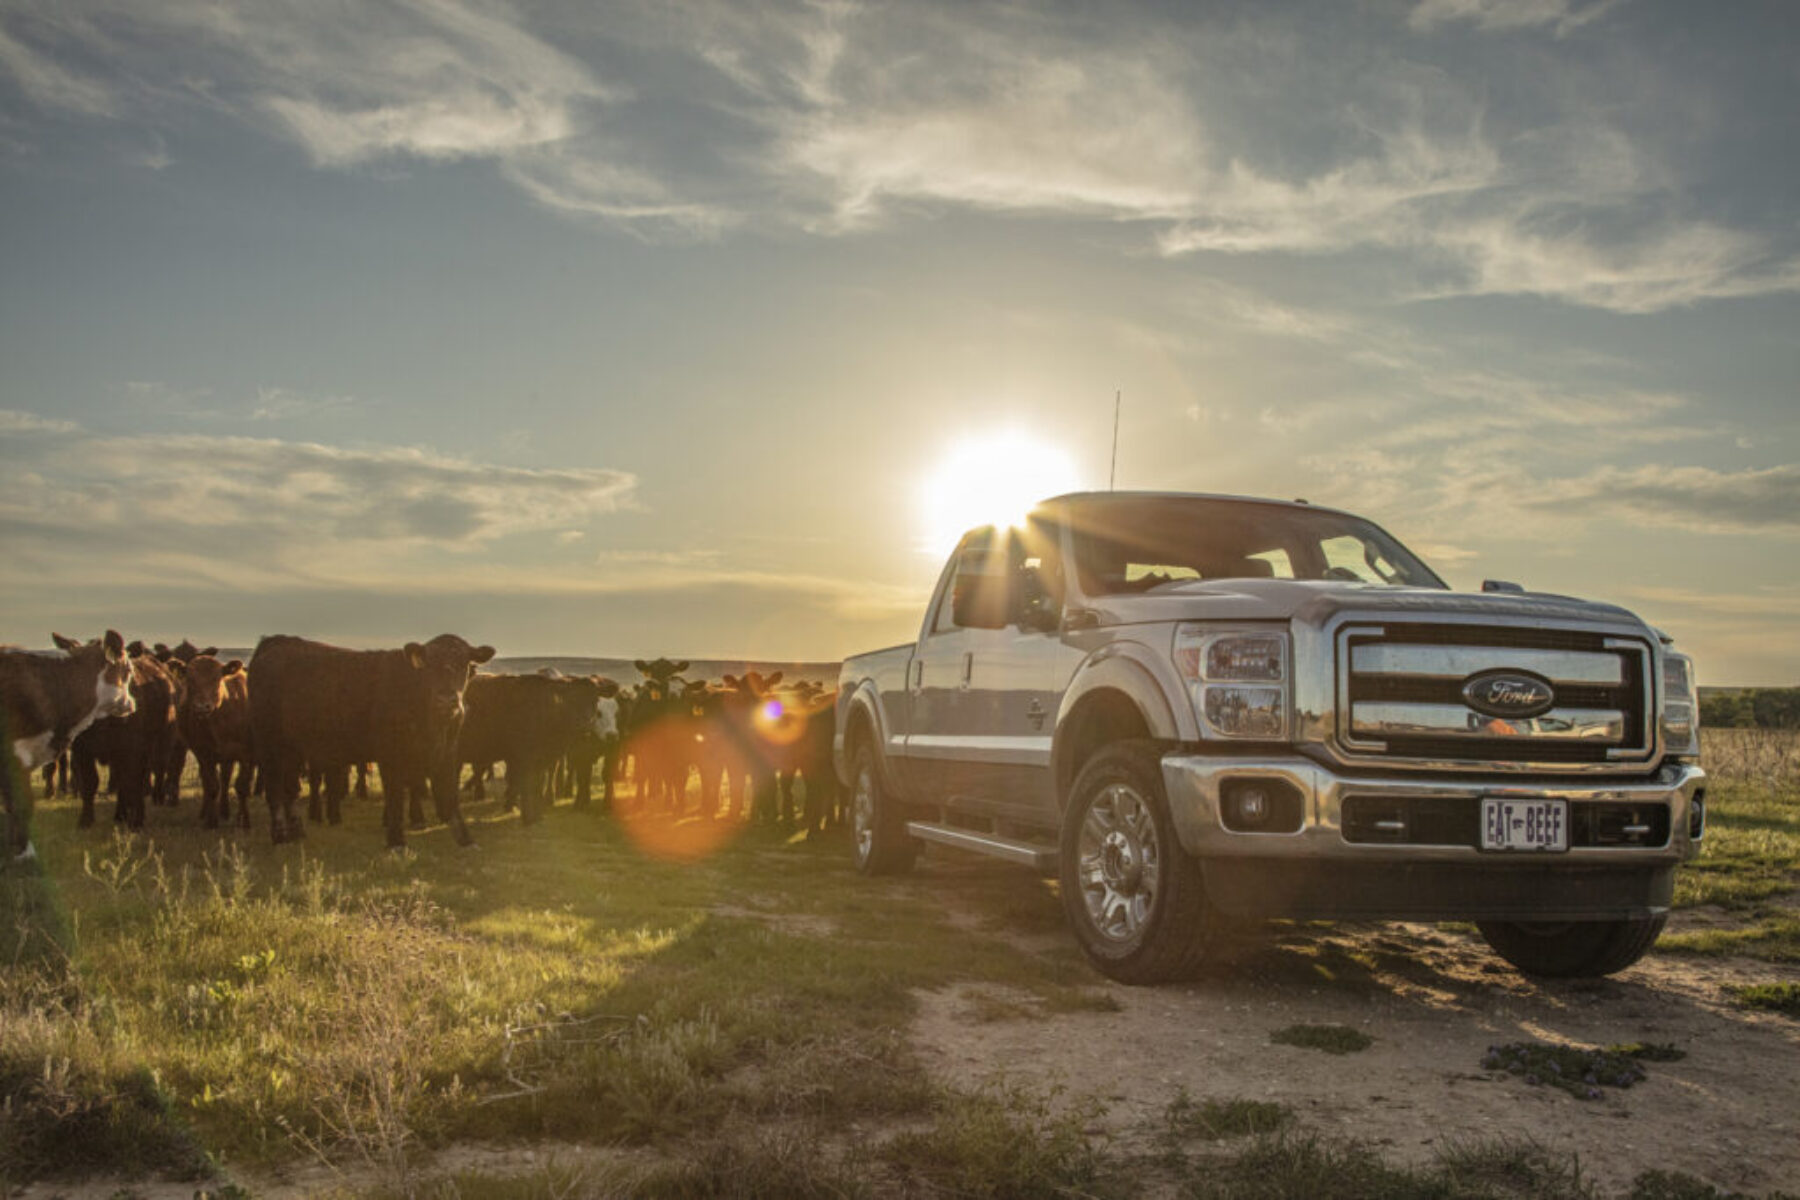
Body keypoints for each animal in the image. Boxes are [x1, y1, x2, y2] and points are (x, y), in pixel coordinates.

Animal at [0, 633, 133, 859]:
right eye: (129, 670)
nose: (131, 704)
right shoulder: (16, 754)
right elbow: (21, 804)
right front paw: (25, 854)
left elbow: (10, 805)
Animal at [70, 647, 179, 834]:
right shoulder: (82, 750)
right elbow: (89, 782)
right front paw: (86, 820)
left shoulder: (132, 751)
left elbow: (132, 782)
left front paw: (136, 822)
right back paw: (120, 814)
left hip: (159, 746)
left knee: (150, 775)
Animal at [177, 651, 255, 831]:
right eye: (190, 680)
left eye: (216, 679)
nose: (201, 707)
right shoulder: (204, 753)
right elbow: (212, 785)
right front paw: (211, 822)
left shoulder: (246, 754)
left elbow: (242, 786)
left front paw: (244, 822)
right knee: (215, 781)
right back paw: (210, 812)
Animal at [250, 633, 496, 849]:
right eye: (429, 665)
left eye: (464, 663)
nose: (446, 699)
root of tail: (275, 643)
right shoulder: (390, 756)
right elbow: (395, 798)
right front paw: (397, 843)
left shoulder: (447, 752)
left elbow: (450, 796)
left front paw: (466, 840)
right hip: (270, 746)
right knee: (274, 791)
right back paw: (280, 837)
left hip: (292, 750)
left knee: (290, 790)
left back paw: (297, 832)